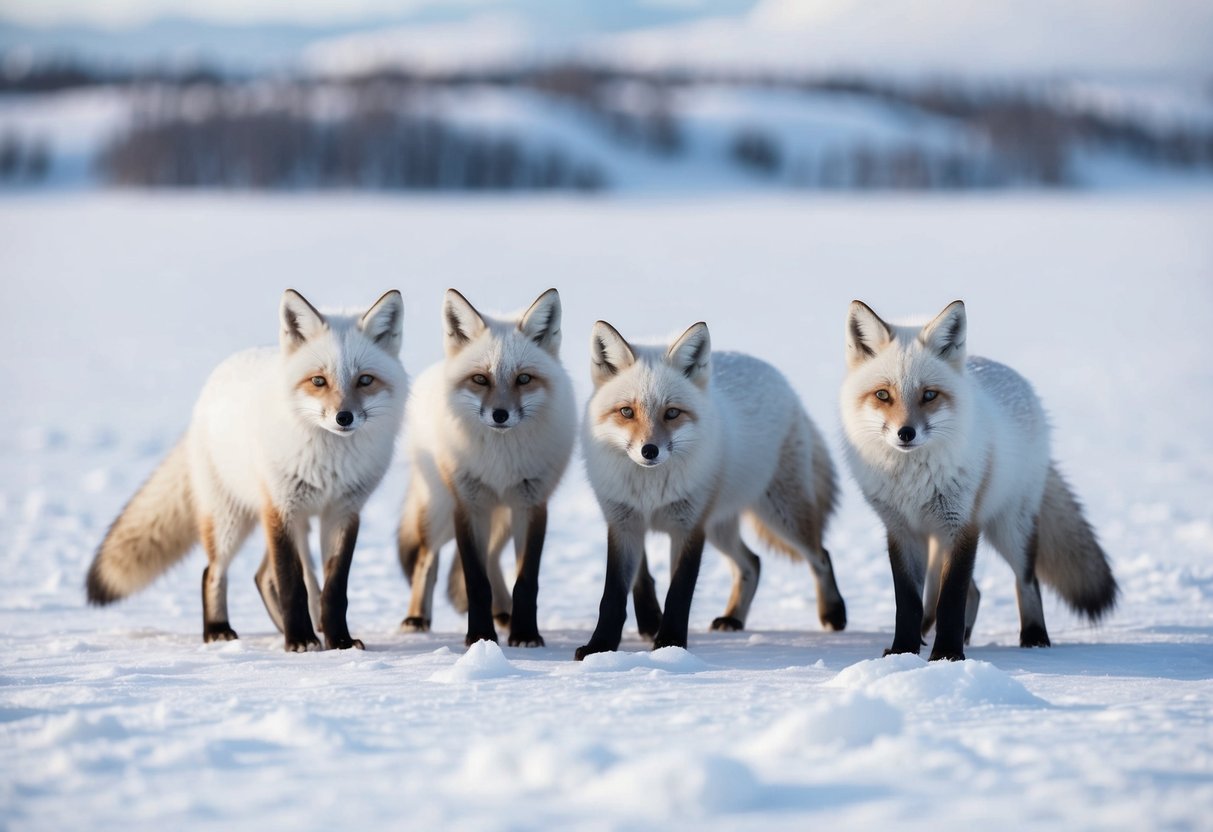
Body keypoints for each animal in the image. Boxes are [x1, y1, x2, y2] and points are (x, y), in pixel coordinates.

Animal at [86, 289, 408, 652]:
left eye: (365, 380)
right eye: (318, 381)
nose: (344, 418)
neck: (330, 461)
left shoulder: (343, 511)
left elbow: (334, 589)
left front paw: (338, 640)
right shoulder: (280, 507)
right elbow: (292, 582)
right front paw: (299, 641)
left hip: (293, 522)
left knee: (263, 575)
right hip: (230, 519)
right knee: (213, 572)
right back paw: (218, 630)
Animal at [397, 288, 576, 648]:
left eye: (524, 378)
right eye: (480, 379)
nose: (500, 415)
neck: (501, 461)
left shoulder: (531, 505)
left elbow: (526, 582)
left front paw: (525, 634)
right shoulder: (468, 505)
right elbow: (475, 582)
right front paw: (480, 637)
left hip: (502, 517)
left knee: (492, 559)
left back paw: (504, 613)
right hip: (440, 511)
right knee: (425, 559)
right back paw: (417, 617)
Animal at [576, 320, 845, 660]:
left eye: (672, 413)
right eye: (626, 412)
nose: (649, 451)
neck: (651, 489)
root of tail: (782, 382)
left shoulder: (689, 527)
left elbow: (679, 593)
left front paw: (670, 644)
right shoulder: (624, 523)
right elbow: (612, 597)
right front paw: (600, 647)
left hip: (782, 516)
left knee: (821, 555)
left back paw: (834, 613)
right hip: (720, 527)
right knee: (752, 563)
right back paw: (733, 618)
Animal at [841, 299, 1117, 661]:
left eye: (929, 395)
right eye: (883, 395)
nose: (906, 433)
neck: (913, 478)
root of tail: (1013, 376)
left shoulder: (963, 524)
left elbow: (951, 599)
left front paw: (947, 656)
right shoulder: (900, 530)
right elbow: (909, 602)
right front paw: (903, 652)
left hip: (1010, 526)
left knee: (1026, 581)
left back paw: (1034, 638)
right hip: (939, 537)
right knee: (975, 592)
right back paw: (959, 636)